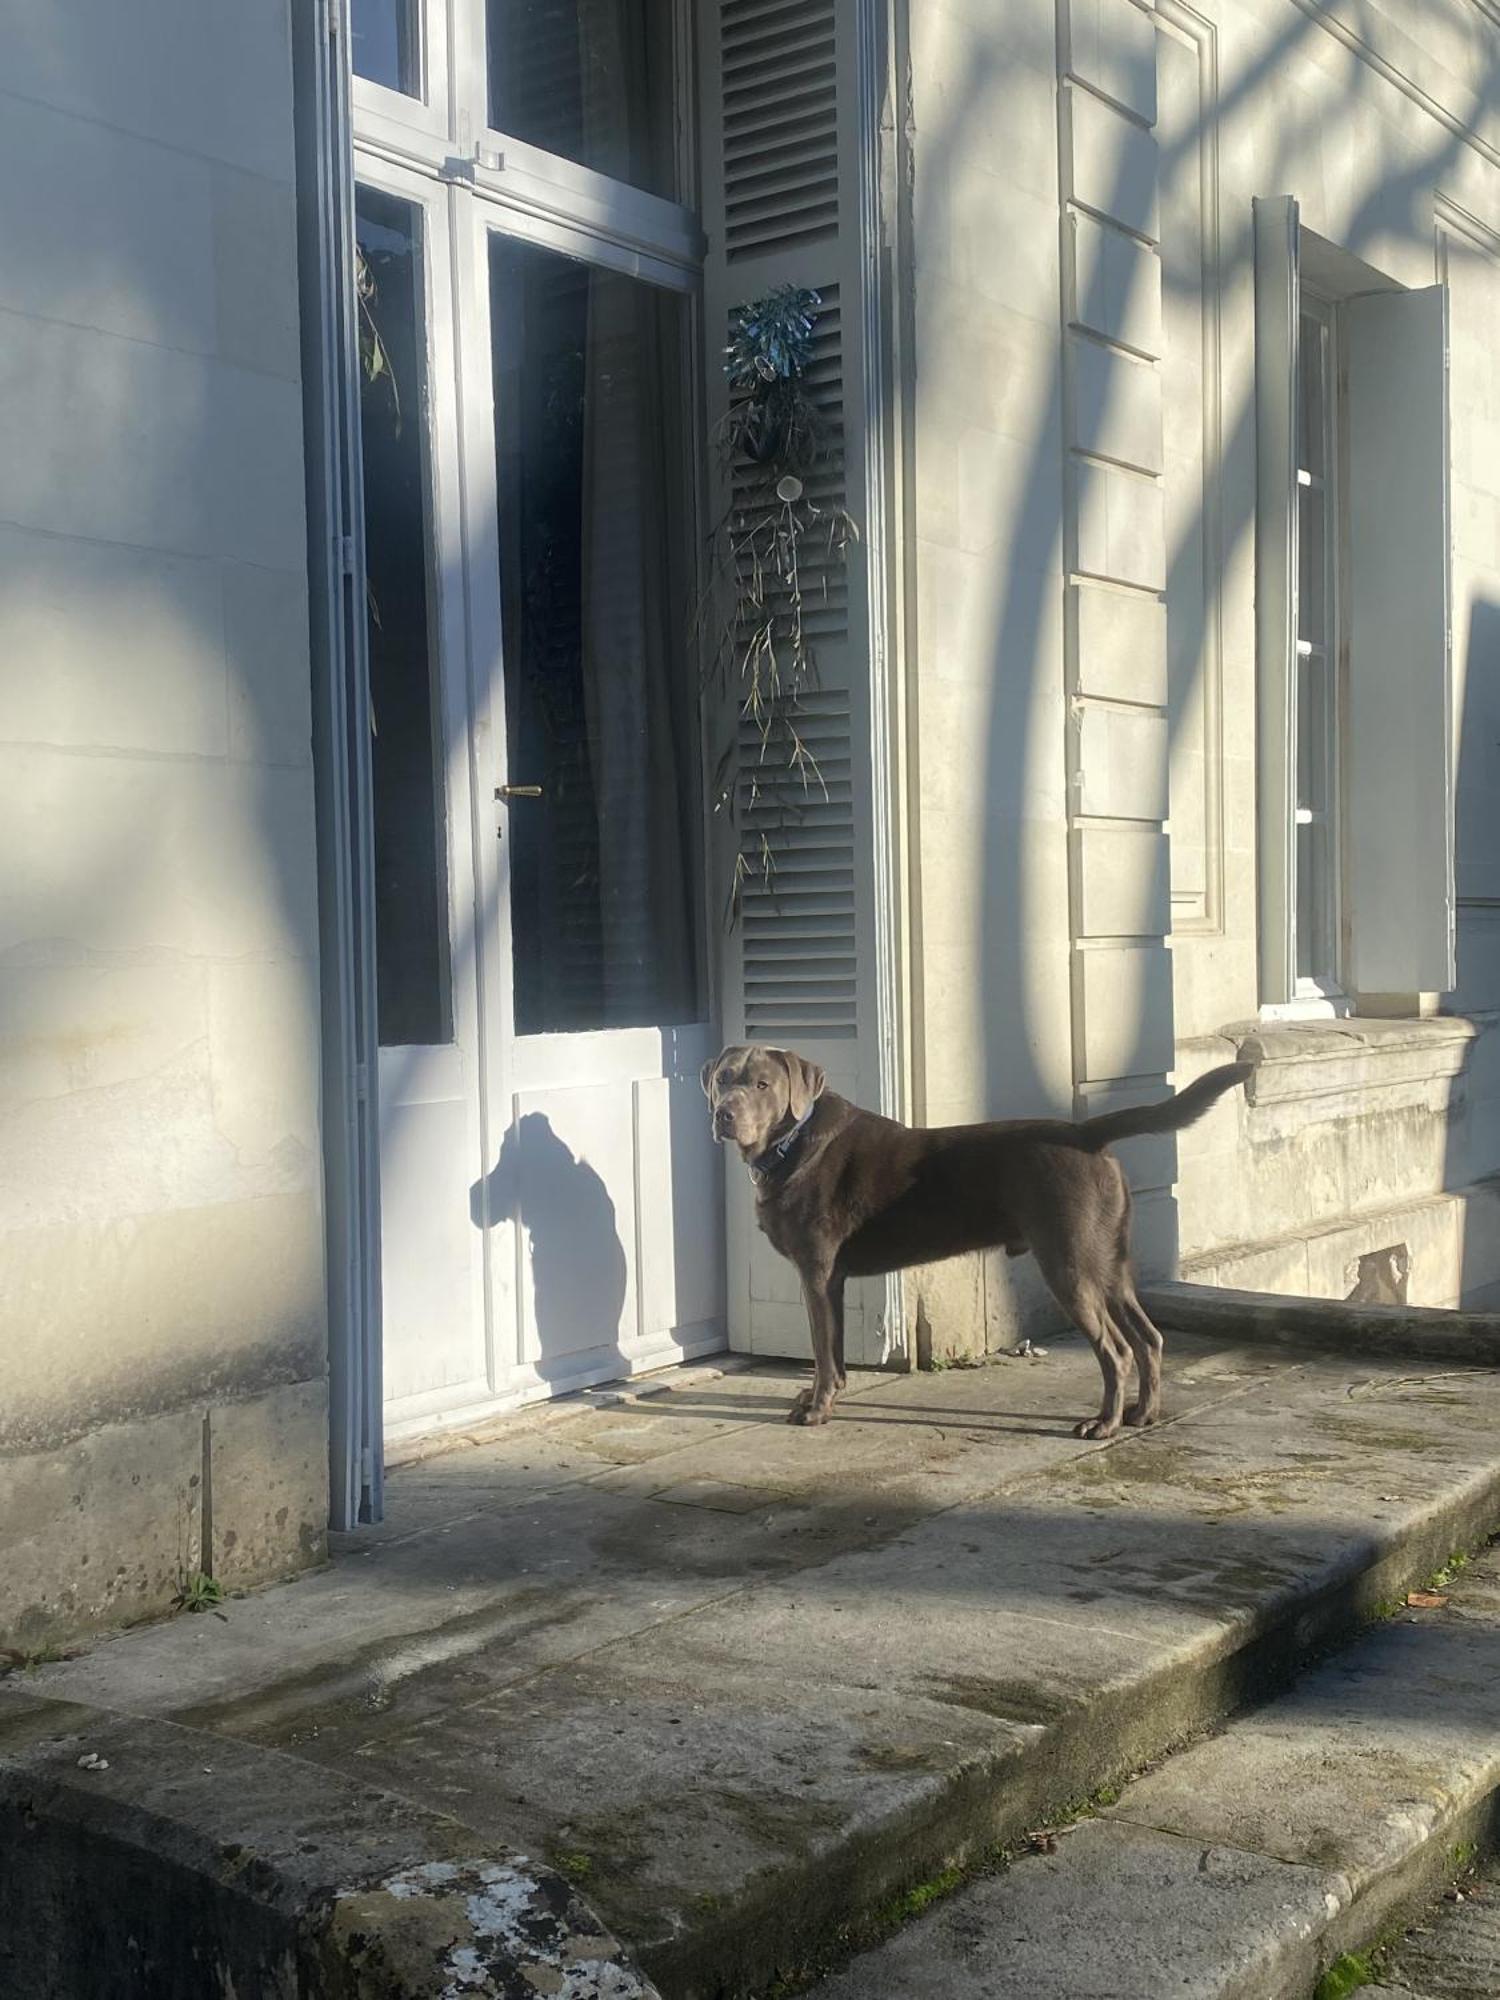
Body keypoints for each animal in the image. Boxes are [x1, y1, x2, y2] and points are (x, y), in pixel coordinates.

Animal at [704, 1048, 1256, 1440]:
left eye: (762, 1084)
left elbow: (821, 1349)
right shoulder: (831, 1280)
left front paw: (817, 1410)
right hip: (1109, 1261)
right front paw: (819, 1397)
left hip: (1069, 1263)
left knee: (1116, 1349)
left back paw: (1103, 1424)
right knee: (1149, 1337)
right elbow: (833, 1352)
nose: (724, 1115)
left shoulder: (817, 1273)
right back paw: (1144, 1413)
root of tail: (1085, 1133)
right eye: (723, 1079)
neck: (790, 1142)